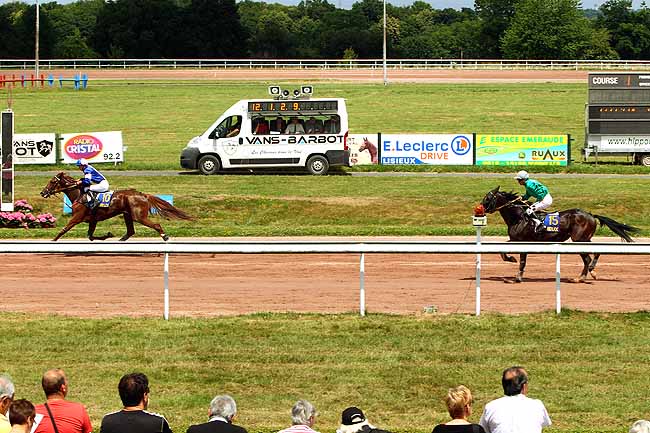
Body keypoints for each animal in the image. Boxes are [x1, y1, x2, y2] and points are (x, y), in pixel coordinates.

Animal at [40, 172, 193, 241]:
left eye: (52, 181)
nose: (43, 192)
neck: (80, 194)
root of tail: (142, 194)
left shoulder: (77, 218)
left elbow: (63, 230)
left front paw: (52, 241)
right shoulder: (92, 220)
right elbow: (90, 236)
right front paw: (107, 235)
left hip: (138, 216)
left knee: (156, 225)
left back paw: (165, 237)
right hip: (127, 214)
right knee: (130, 231)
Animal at [481, 186, 639, 283]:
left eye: (487, 198)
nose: (479, 209)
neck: (519, 217)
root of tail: (590, 215)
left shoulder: (522, 241)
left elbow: (522, 261)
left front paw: (517, 276)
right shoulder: (515, 239)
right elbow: (503, 250)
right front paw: (511, 260)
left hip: (579, 239)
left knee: (587, 258)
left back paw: (582, 277)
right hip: (584, 239)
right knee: (594, 254)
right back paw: (588, 273)